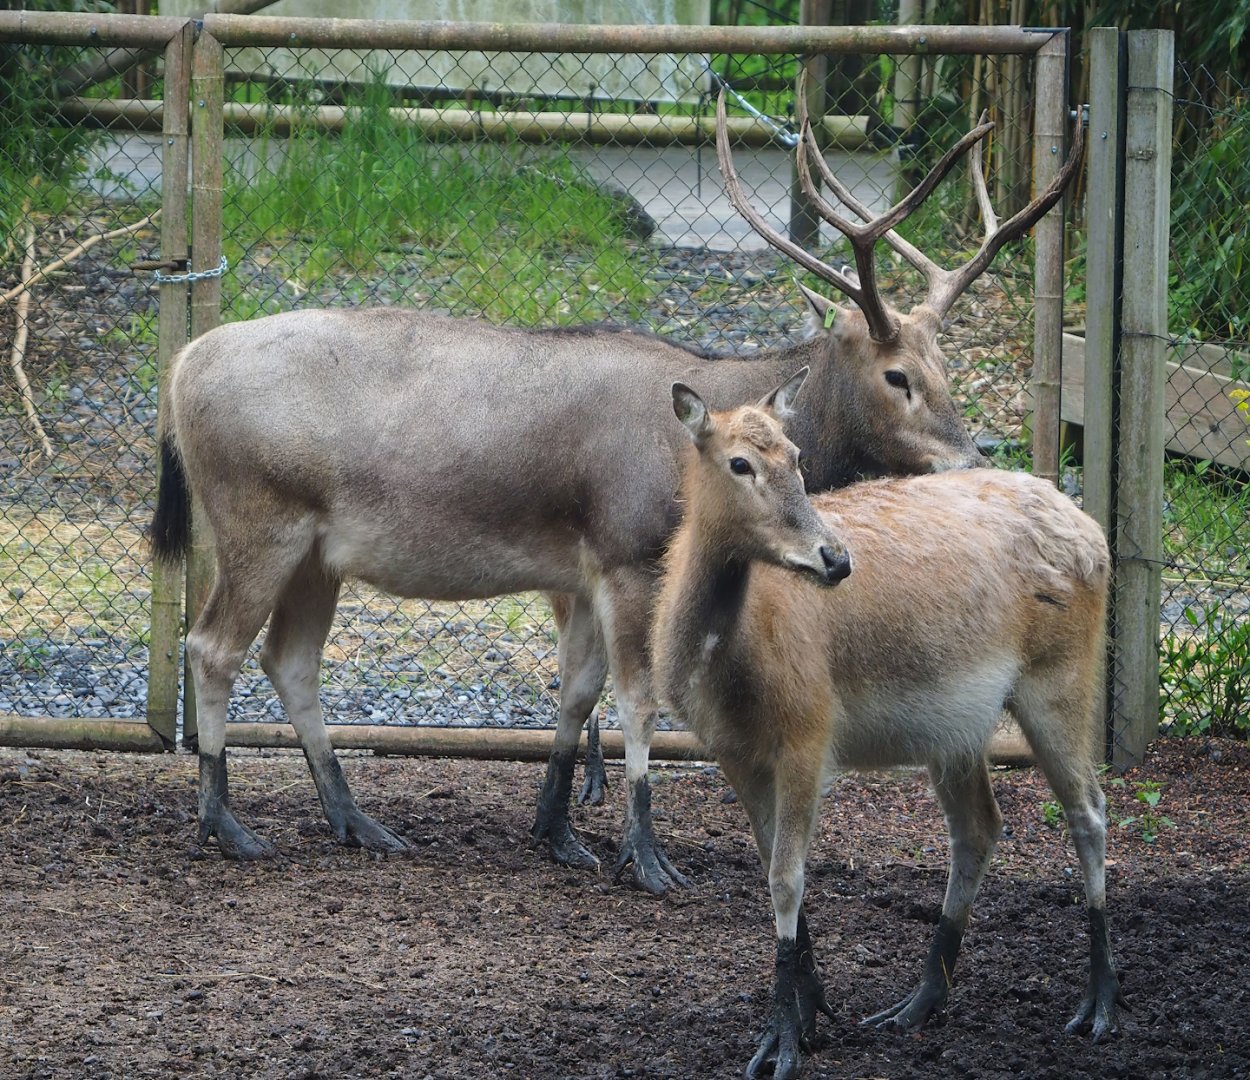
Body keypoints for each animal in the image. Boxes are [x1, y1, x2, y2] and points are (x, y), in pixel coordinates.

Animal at [148, 83, 1082, 895]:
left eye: (945, 365)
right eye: (896, 376)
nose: (969, 458)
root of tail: (179, 371)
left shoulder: (583, 568)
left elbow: (577, 690)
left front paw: (558, 830)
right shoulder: (631, 552)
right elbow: (640, 701)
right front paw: (645, 851)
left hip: (319, 552)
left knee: (290, 660)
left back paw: (357, 820)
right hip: (257, 517)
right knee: (212, 646)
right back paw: (225, 823)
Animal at [651, 372, 1119, 1079]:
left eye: (797, 456)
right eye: (739, 463)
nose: (834, 558)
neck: (725, 666)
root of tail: (1096, 534)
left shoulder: (809, 733)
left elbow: (786, 878)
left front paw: (780, 1041)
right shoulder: (732, 752)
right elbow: (772, 869)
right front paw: (812, 1016)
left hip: (1060, 678)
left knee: (1089, 812)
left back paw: (1098, 1005)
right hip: (958, 730)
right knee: (980, 826)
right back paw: (917, 1002)